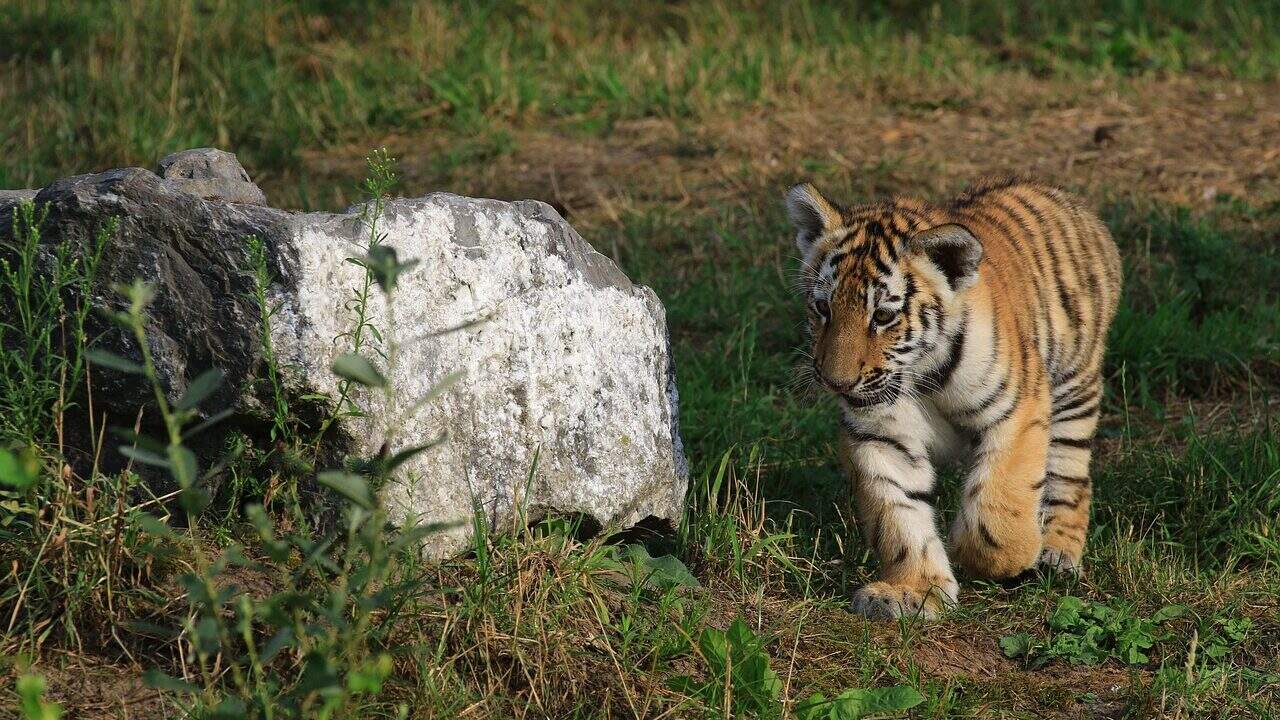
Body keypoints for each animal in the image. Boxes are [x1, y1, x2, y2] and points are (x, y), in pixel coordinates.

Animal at [786, 177, 1121, 619]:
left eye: (883, 317)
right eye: (823, 308)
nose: (836, 382)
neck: (921, 372)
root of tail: (1062, 196)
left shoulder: (1018, 411)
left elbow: (1000, 506)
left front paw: (996, 556)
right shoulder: (881, 436)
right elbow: (897, 515)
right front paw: (913, 592)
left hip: (1074, 385)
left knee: (1071, 476)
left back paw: (1055, 553)